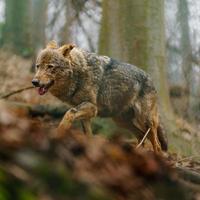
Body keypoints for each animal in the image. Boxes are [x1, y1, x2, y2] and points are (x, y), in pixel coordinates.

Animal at [32, 41, 168, 153]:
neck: (78, 73)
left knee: (157, 144)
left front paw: (58, 133)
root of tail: (151, 80)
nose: (34, 82)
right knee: (141, 136)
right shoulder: (86, 114)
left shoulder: (92, 107)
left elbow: (68, 113)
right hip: (122, 121)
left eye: (50, 66)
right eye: (38, 66)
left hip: (144, 120)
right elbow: (88, 135)